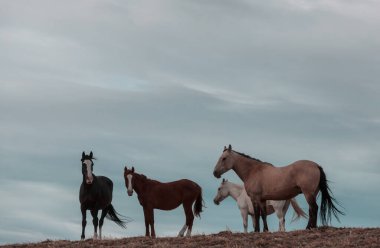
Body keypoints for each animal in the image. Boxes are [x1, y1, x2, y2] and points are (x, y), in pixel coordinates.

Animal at [214, 145, 344, 232]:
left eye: (224, 158)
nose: (215, 173)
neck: (253, 171)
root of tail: (316, 165)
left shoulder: (254, 199)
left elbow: (257, 215)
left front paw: (257, 231)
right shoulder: (262, 199)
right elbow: (263, 215)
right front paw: (265, 230)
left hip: (308, 194)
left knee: (314, 208)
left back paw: (310, 228)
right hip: (312, 193)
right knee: (311, 209)